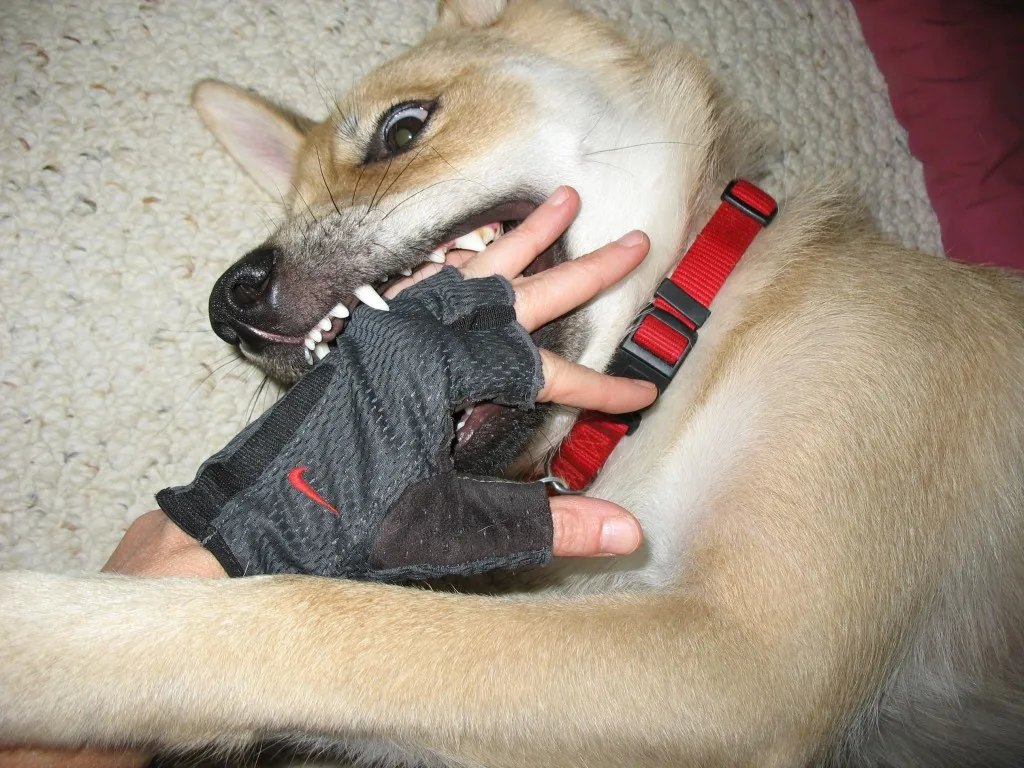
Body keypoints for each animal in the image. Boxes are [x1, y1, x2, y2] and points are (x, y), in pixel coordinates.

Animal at [2, 0, 1024, 765]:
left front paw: (43, 636)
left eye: (404, 127)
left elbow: (314, 618)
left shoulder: (751, 662)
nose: (232, 297)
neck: (690, 340)